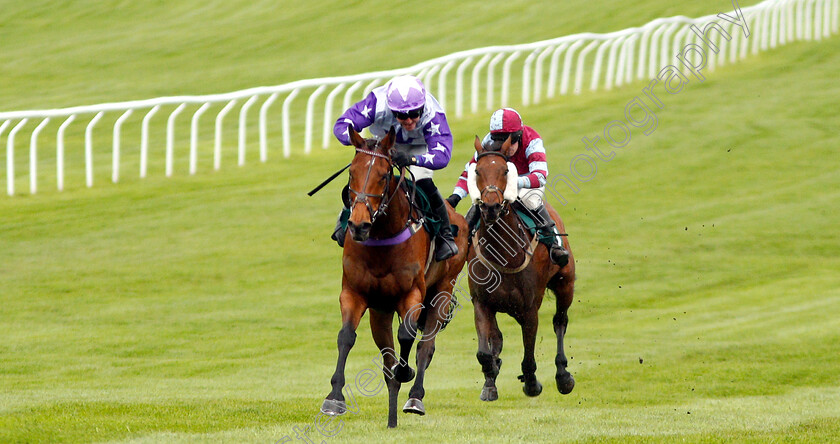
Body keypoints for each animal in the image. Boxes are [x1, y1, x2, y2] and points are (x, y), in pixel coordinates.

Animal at [320, 126, 470, 428]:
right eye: (351, 173)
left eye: (383, 174)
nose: (358, 225)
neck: (381, 237)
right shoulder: (354, 292)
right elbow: (346, 337)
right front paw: (334, 398)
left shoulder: (412, 294)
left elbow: (407, 335)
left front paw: (406, 372)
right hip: (380, 311)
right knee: (387, 358)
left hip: (442, 290)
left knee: (425, 346)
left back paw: (414, 397)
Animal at [466, 135, 576, 402]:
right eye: (477, 171)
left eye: (505, 171)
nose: (491, 207)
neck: (503, 253)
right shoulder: (482, 302)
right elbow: (485, 351)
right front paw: (490, 380)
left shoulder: (529, 308)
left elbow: (528, 356)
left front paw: (532, 383)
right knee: (497, 337)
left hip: (565, 284)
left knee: (560, 321)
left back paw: (563, 375)